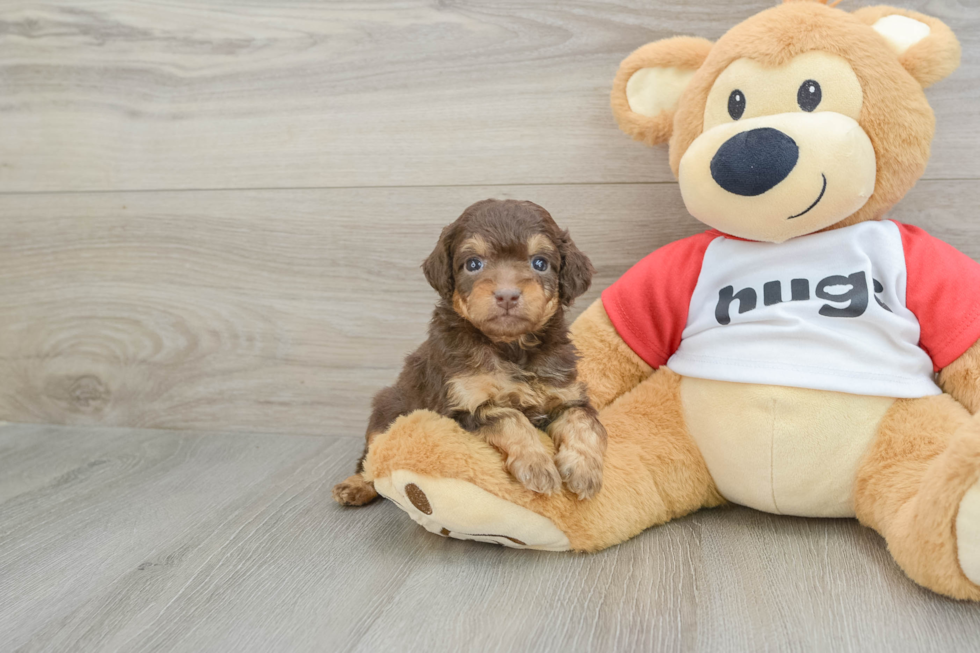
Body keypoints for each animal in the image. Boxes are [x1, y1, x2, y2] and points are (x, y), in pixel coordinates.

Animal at [332, 199, 604, 504]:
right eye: (473, 263)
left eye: (540, 263)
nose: (507, 295)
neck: (510, 347)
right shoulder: (461, 408)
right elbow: (509, 417)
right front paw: (536, 465)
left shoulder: (566, 395)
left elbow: (584, 420)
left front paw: (584, 470)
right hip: (387, 408)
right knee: (372, 457)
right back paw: (356, 485)